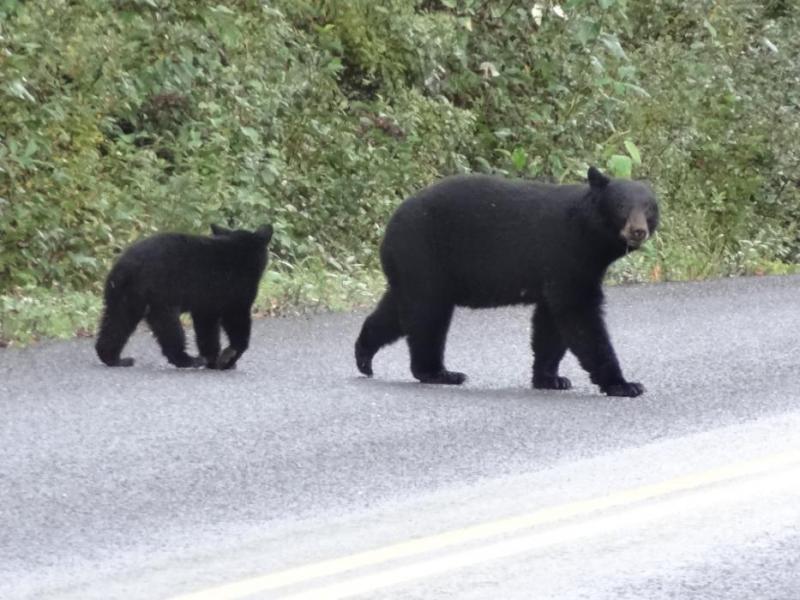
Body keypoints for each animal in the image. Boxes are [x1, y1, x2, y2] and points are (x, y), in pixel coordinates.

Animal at [95, 224, 273, 370]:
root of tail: (127, 267)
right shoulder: (235, 290)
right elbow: (236, 320)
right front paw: (228, 359)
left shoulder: (207, 303)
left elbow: (206, 328)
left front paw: (213, 359)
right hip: (161, 295)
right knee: (169, 328)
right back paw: (188, 360)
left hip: (123, 295)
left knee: (117, 322)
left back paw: (114, 359)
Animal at [354, 167, 659, 397]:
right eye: (621, 206)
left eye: (648, 208)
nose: (638, 230)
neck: (589, 235)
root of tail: (390, 226)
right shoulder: (565, 254)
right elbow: (579, 316)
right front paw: (623, 384)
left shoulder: (557, 271)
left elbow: (550, 324)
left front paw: (550, 378)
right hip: (423, 255)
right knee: (427, 315)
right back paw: (438, 372)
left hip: (412, 269)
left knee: (397, 312)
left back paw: (364, 355)